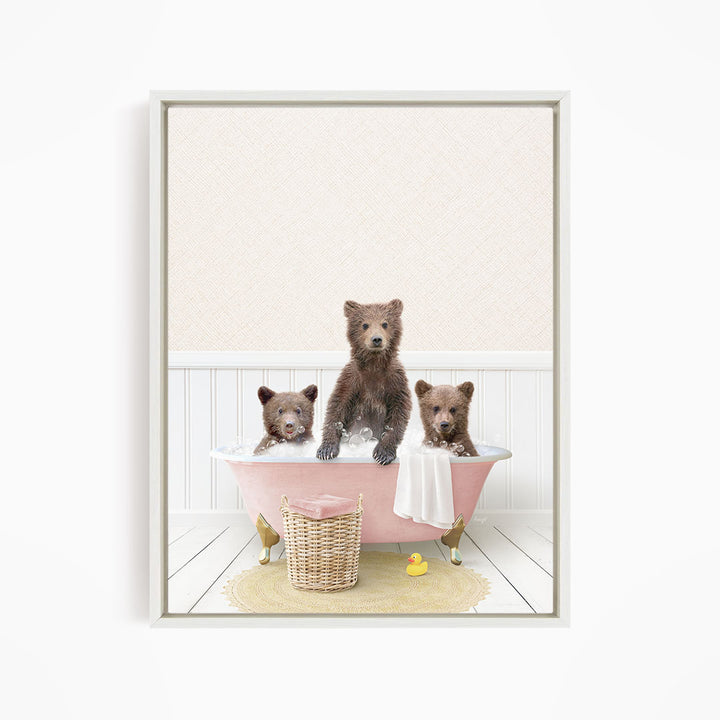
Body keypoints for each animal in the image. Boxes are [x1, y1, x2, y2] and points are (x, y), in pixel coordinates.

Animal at [316, 299, 411, 466]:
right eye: (365, 324)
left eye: (385, 323)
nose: (377, 339)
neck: (374, 364)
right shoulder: (352, 378)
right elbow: (337, 406)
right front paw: (326, 450)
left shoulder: (395, 380)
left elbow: (398, 412)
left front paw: (382, 454)